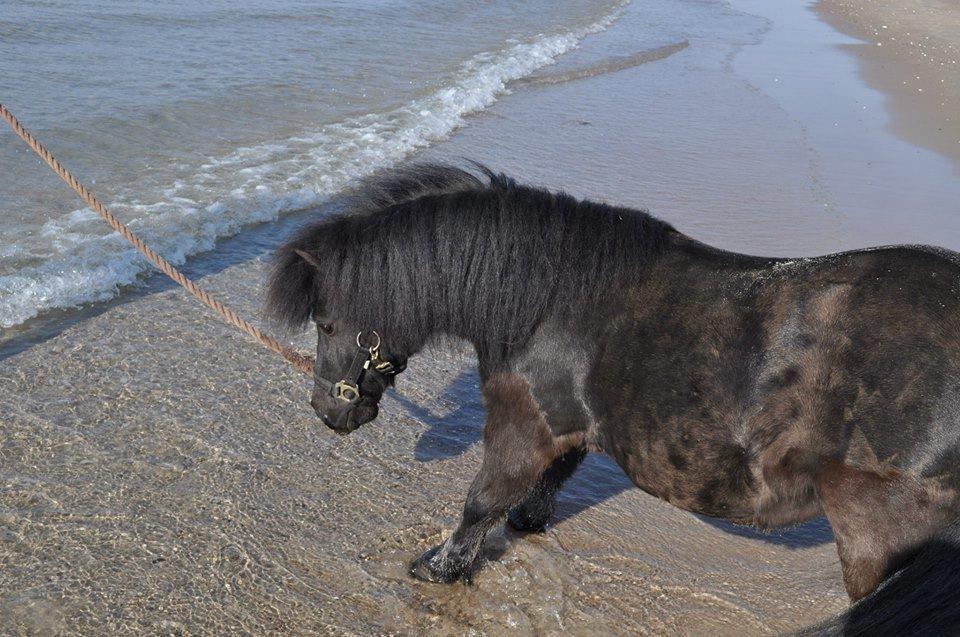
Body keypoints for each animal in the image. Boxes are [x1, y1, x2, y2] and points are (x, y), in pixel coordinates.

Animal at [266, 164, 960, 632]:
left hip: (877, 536)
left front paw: (439, 570)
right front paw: (521, 528)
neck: (546, 300)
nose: (327, 412)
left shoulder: (523, 428)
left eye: (325, 323)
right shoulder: (569, 430)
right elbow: (541, 491)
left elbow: (479, 502)